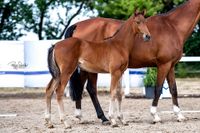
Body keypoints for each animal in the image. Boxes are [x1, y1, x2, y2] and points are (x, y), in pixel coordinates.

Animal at [65, 0, 199, 123]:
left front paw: (179, 115)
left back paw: (81, 116)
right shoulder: (163, 65)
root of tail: (77, 25)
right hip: (91, 69)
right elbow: (158, 88)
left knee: (81, 88)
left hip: (85, 67)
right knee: (91, 89)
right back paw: (103, 117)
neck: (172, 26)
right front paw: (155, 115)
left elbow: (173, 89)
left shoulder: (170, 66)